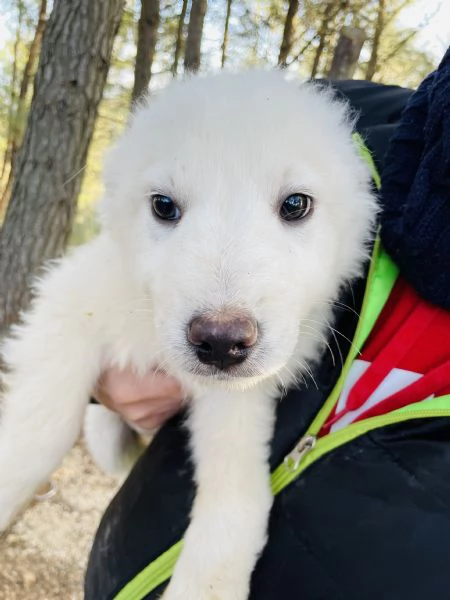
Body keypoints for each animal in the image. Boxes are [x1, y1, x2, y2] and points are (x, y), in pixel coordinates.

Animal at [0, 71, 376, 600]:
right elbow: (38, 434)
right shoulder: (70, 302)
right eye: (164, 205)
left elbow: (234, 504)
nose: (220, 341)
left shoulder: (238, 400)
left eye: (295, 204)